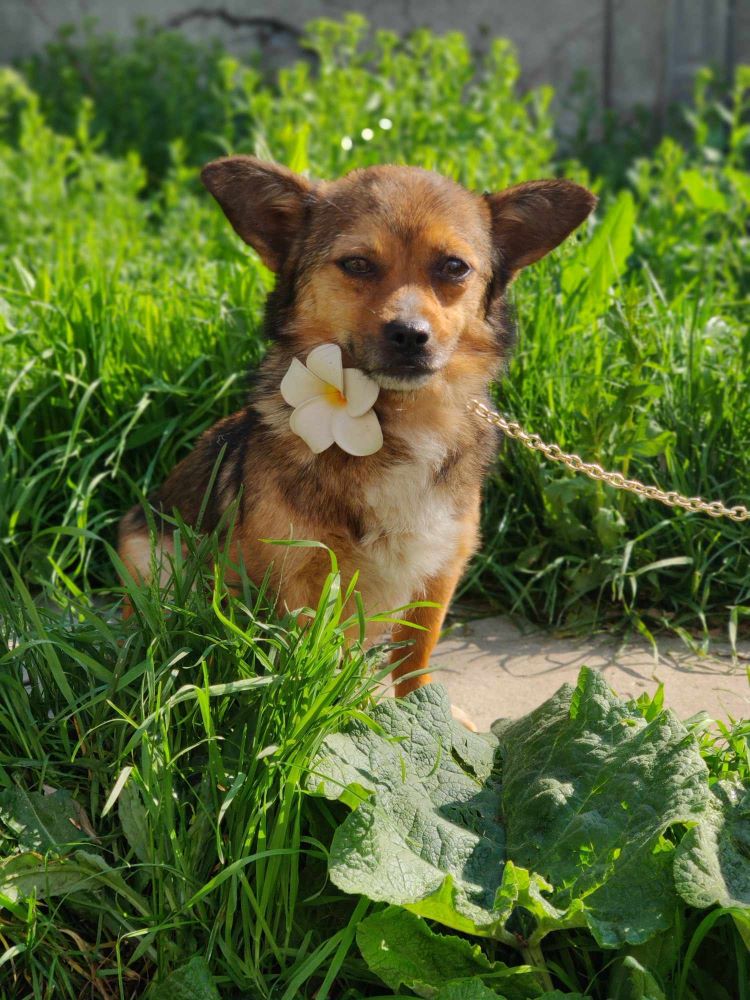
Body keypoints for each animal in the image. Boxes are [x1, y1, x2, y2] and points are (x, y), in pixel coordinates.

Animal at [119, 156, 600, 704]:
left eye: (454, 266)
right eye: (356, 264)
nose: (410, 335)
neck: (401, 419)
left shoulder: (440, 568)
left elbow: (415, 659)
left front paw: (425, 712)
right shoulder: (296, 576)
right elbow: (308, 664)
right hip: (150, 555)